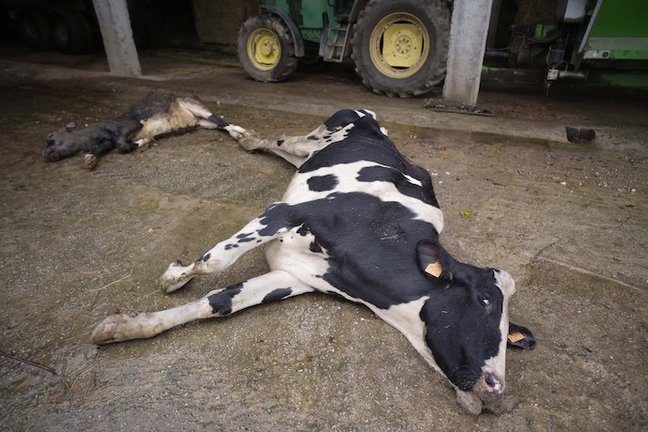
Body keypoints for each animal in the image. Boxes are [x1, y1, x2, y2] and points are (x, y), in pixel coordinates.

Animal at [42, 92, 246, 168]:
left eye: (51, 137)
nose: (44, 153)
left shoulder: (131, 125)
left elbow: (123, 146)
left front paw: (147, 140)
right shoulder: (106, 143)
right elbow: (101, 150)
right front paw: (89, 159)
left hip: (196, 107)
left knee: (220, 119)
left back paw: (244, 135)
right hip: (201, 122)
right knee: (219, 124)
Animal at [92, 109, 536, 416]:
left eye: (512, 335)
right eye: (484, 299)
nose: (498, 388)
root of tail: (377, 123)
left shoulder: (298, 276)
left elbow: (220, 301)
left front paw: (127, 327)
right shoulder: (284, 212)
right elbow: (213, 263)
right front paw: (173, 277)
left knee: (286, 152)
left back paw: (248, 139)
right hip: (328, 128)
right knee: (285, 139)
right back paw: (245, 135)